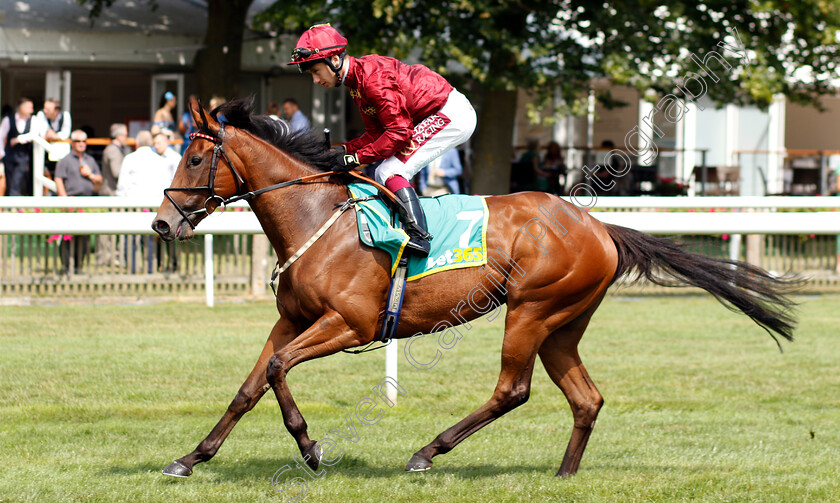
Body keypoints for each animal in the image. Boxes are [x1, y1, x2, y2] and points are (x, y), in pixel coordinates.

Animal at [153, 98, 800, 480]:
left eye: (195, 158)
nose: (162, 224)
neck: (318, 219)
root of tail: (598, 226)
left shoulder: (351, 325)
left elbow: (278, 369)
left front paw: (310, 449)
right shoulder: (291, 319)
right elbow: (251, 384)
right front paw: (191, 458)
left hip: (531, 310)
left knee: (513, 389)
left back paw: (427, 452)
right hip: (562, 325)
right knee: (585, 398)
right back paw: (564, 475)